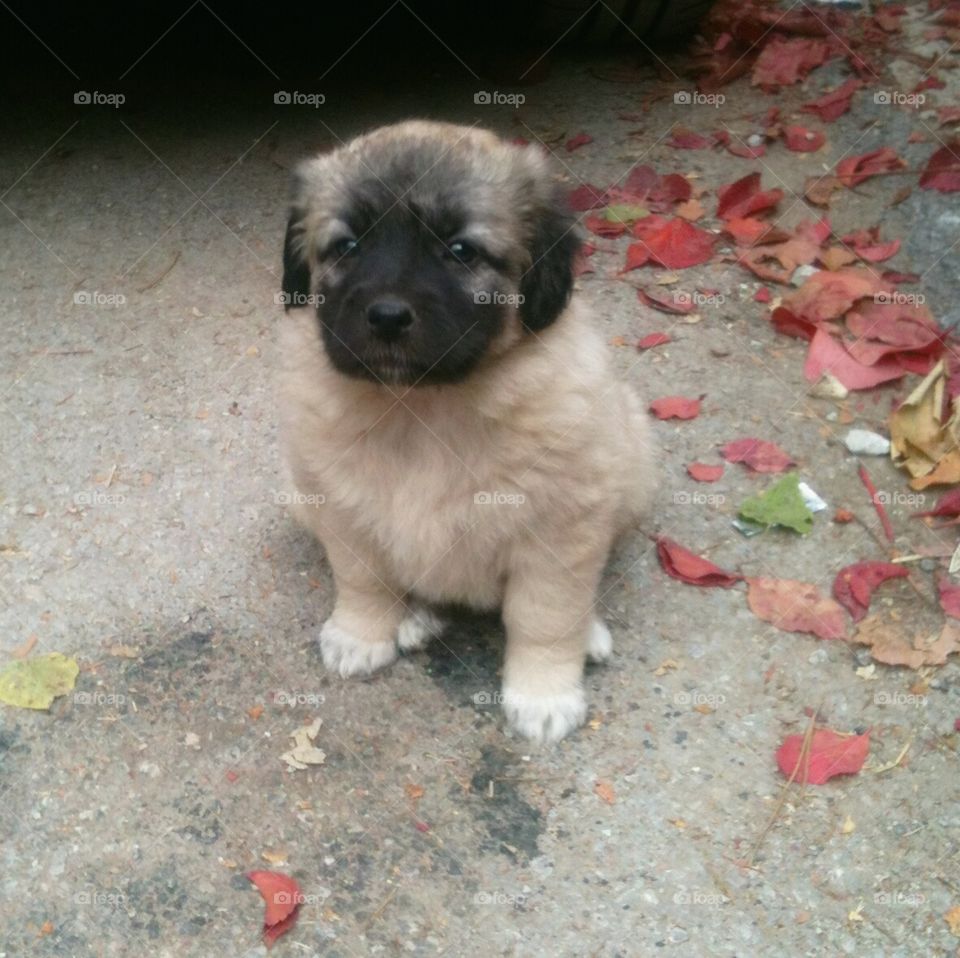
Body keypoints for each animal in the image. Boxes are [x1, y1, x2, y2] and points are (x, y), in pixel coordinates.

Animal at [274, 120, 656, 748]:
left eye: (460, 250)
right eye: (347, 246)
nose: (386, 316)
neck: (424, 407)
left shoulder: (559, 532)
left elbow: (546, 617)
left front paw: (543, 693)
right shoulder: (343, 510)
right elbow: (363, 580)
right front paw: (361, 633)